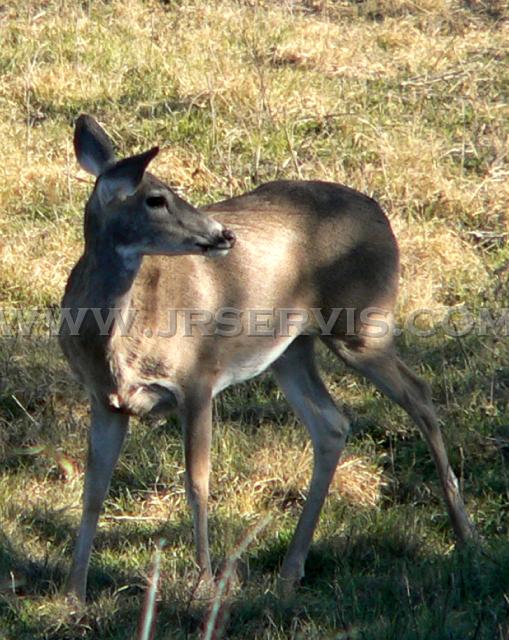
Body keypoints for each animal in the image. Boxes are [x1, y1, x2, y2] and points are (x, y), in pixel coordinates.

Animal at [60, 114, 476, 600]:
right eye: (155, 198)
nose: (222, 233)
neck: (118, 345)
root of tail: (381, 216)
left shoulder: (198, 376)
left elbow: (197, 482)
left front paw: (204, 583)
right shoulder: (105, 399)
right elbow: (94, 487)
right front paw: (75, 591)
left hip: (361, 323)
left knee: (420, 395)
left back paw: (464, 534)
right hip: (291, 348)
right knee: (332, 424)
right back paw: (292, 569)